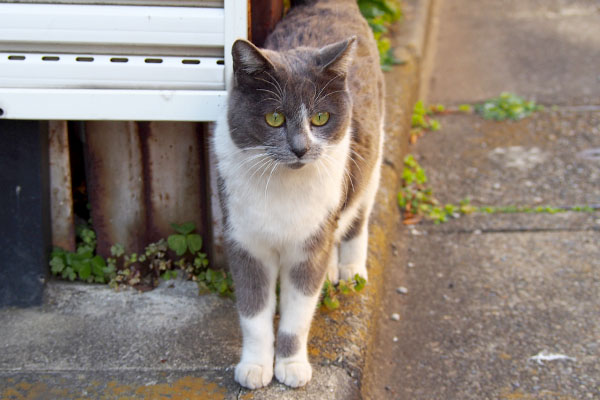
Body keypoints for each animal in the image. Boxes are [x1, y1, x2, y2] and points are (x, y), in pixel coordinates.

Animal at [213, 0, 384, 390]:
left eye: (321, 118)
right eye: (274, 118)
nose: (301, 148)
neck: (282, 188)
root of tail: (328, 3)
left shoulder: (309, 245)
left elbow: (299, 314)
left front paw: (291, 367)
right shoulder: (245, 243)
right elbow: (254, 314)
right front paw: (256, 366)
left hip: (370, 163)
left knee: (357, 218)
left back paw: (350, 269)